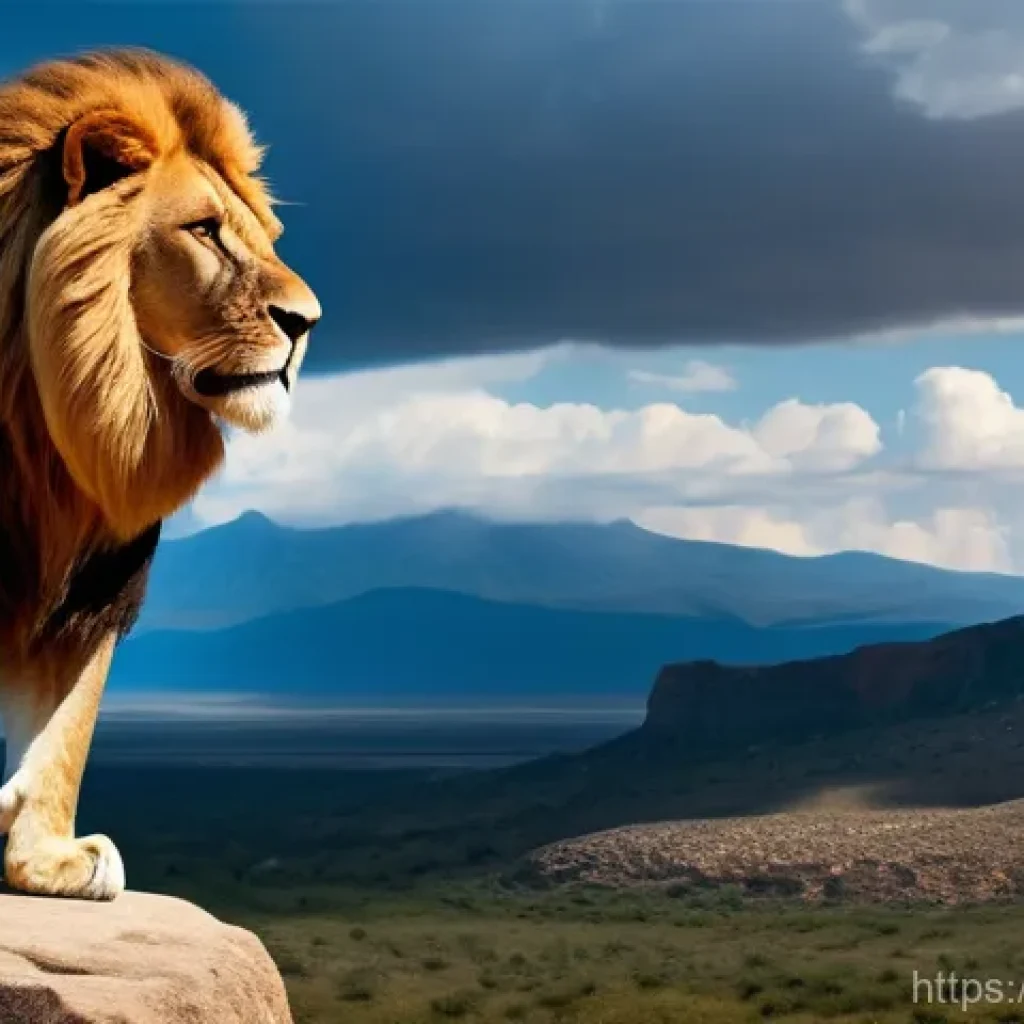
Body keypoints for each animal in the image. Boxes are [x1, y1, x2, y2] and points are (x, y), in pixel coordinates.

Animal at [0, 50, 320, 899]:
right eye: (204, 231)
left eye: (261, 236)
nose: (306, 323)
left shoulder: (97, 581)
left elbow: (69, 719)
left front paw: (47, 860)